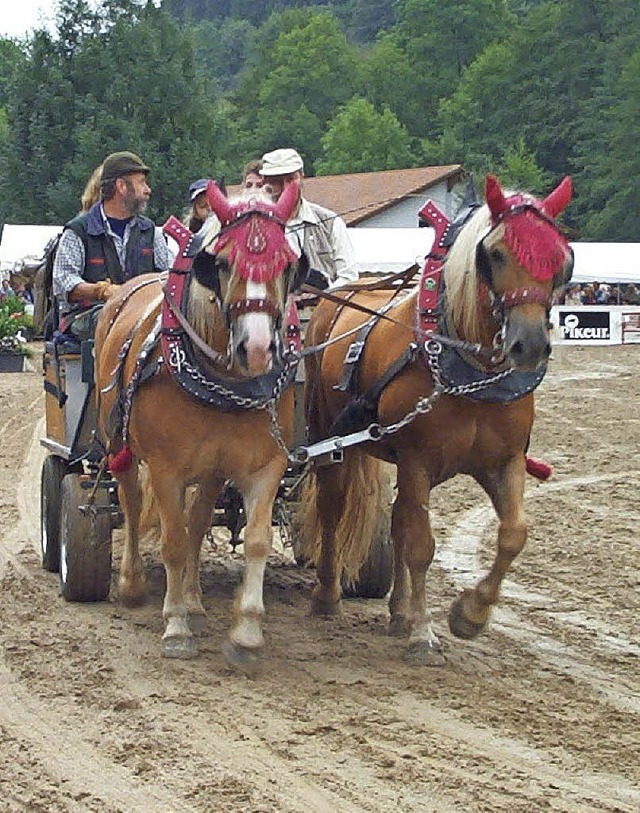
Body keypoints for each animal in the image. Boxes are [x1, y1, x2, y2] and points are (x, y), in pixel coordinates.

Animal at [94, 181, 302, 668]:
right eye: (222, 263)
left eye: (288, 264)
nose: (258, 349)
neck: (224, 385)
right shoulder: (166, 469)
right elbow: (170, 539)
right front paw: (175, 626)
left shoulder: (266, 466)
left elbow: (255, 541)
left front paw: (245, 633)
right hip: (117, 443)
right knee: (131, 503)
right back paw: (133, 584)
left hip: (210, 470)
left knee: (198, 519)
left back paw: (194, 600)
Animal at [300, 174, 576, 664]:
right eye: (496, 253)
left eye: (562, 259)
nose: (529, 345)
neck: (469, 371)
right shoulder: (418, 461)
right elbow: (421, 546)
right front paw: (424, 634)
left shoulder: (502, 462)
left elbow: (513, 534)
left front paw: (469, 615)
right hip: (327, 437)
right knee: (334, 508)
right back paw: (328, 596)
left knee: (396, 519)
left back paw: (397, 612)